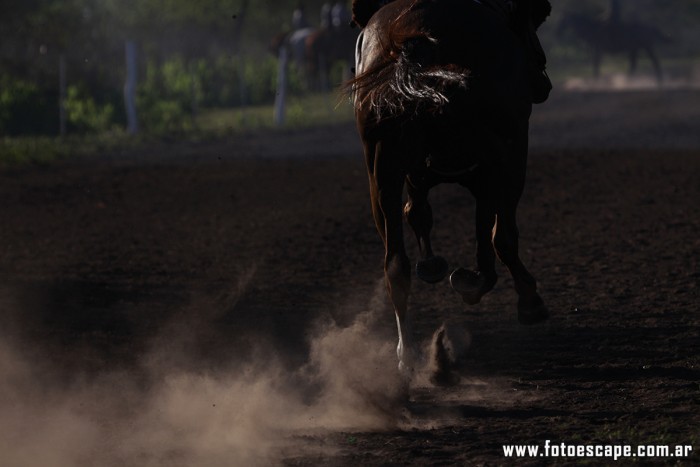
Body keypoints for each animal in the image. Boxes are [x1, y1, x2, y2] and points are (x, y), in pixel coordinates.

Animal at [348, 0, 548, 374]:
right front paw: (523, 298)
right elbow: (498, 235)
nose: (542, 80)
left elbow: (419, 214)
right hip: (502, 151)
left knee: (395, 263)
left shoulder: (417, 173)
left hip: (381, 169)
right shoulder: (504, 156)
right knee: (501, 233)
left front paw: (434, 266)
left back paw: (407, 354)